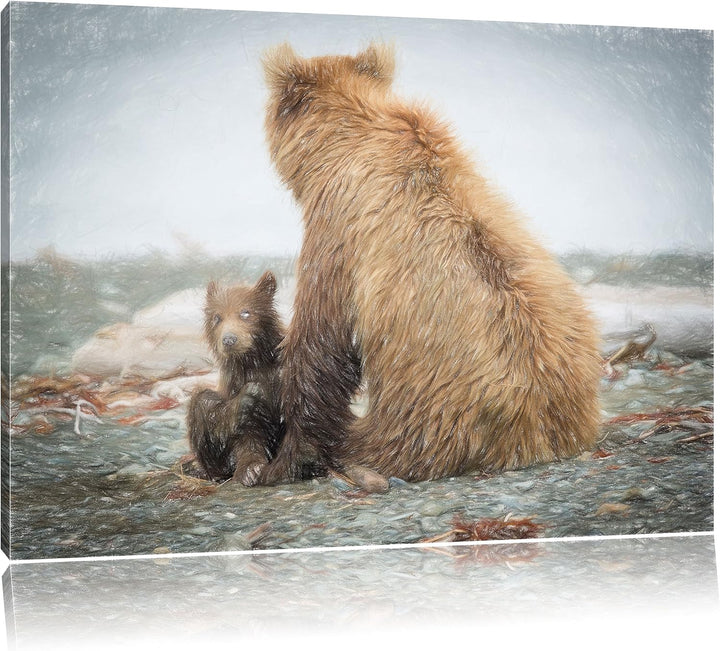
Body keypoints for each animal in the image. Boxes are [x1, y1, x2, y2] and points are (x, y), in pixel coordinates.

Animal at [187, 271, 285, 485]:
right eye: (217, 317)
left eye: (245, 312)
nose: (229, 339)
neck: (254, 361)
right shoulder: (235, 384)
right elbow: (247, 432)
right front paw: (251, 469)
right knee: (203, 401)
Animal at [255, 43, 601, 485]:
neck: (345, 140)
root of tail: (539, 434)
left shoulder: (337, 226)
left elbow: (321, 340)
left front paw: (284, 458)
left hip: (429, 417)